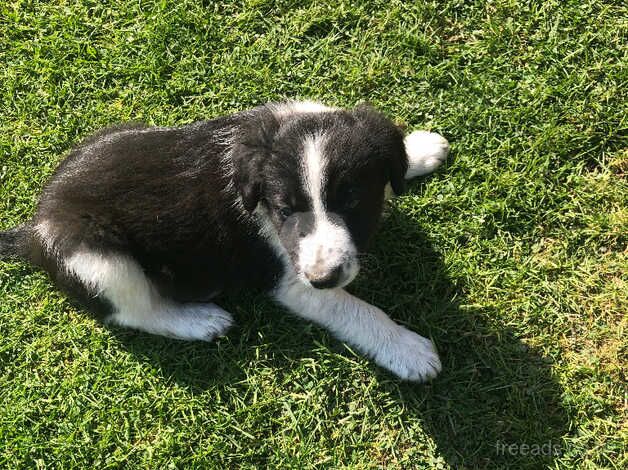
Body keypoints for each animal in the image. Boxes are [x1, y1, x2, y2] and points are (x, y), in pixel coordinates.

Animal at [1, 100, 452, 382]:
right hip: (98, 257)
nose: (323, 277)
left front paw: (419, 148)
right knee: (133, 311)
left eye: (353, 201)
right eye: (284, 210)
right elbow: (359, 311)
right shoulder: (293, 282)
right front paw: (408, 350)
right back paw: (199, 320)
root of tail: (35, 225)